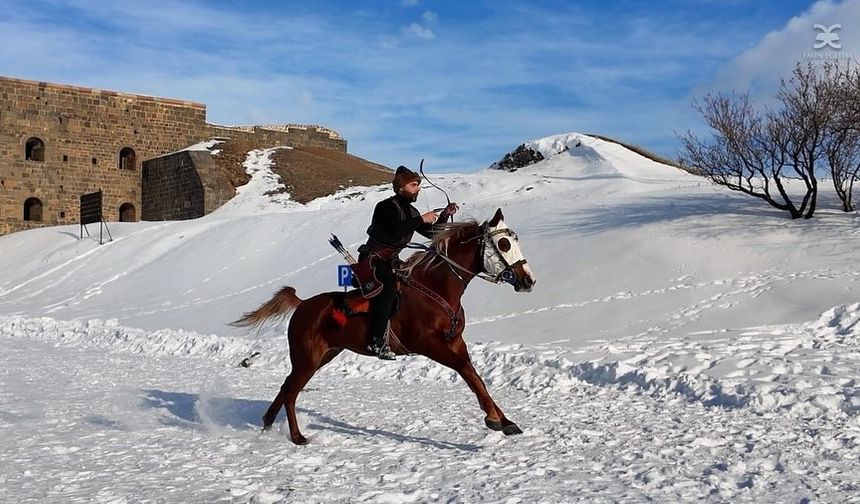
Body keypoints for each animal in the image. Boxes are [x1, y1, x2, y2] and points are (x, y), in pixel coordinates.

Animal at [232, 207, 536, 442]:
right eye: (504, 244)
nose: (528, 280)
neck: (436, 287)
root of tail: (304, 304)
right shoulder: (428, 344)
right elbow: (465, 371)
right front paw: (494, 418)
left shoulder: (455, 341)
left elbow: (476, 377)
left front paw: (505, 421)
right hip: (307, 358)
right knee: (292, 392)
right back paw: (296, 436)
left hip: (323, 355)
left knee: (286, 387)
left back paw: (268, 423)